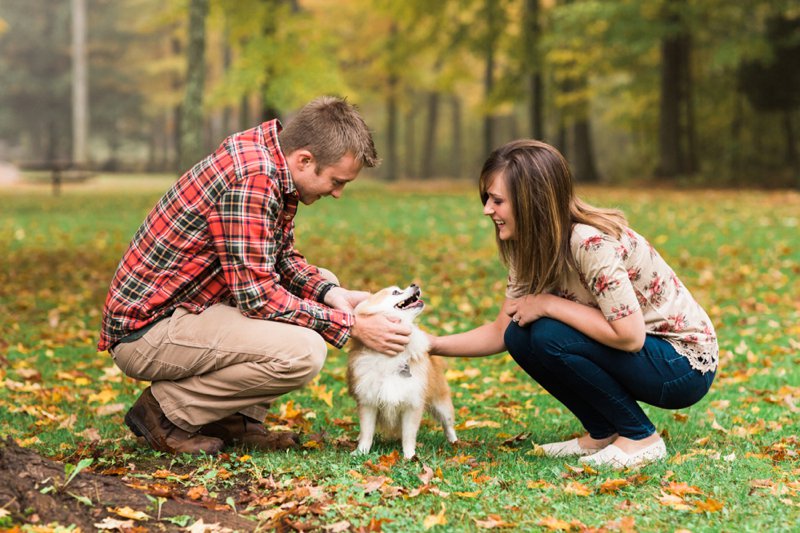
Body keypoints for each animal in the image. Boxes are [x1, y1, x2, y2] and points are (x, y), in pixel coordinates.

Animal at [348, 282, 460, 458]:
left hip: (441, 404)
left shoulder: (412, 404)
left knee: (448, 424)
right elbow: (367, 431)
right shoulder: (368, 401)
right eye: (396, 292)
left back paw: (454, 442)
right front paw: (361, 451)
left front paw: (410, 456)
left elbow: (408, 435)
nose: (415, 284)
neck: (390, 357)